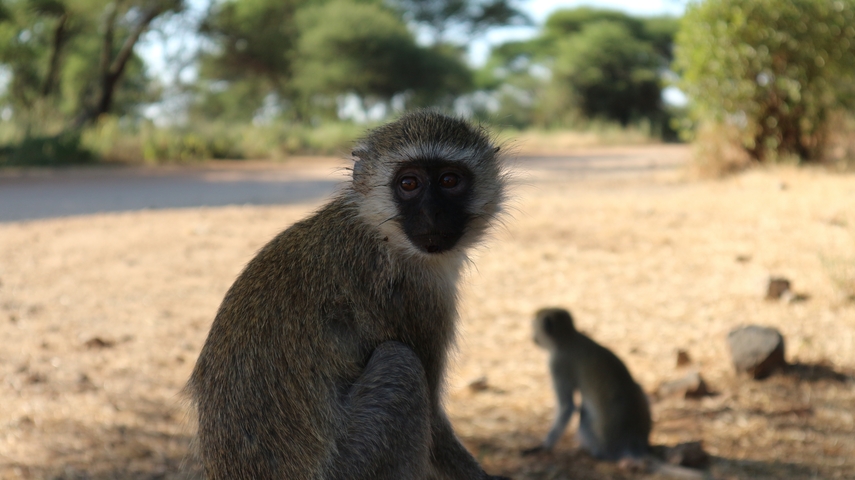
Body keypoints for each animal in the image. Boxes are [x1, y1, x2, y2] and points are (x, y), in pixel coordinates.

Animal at [185, 110, 510, 480]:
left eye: (449, 180)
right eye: (408, 184)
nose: (433, 214)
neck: (380, 233)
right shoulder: (413, 296)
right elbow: (435, 427)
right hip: (355, 465)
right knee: (400, 364)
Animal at [524, 307, 706, 479]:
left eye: (534, 327)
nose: (533, 338)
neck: (569, 338)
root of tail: (633, 443)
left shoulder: (558, 363)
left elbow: (566, 406)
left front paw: (543, 447)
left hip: (602, 442)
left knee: (584, 415)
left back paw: (594, 453)